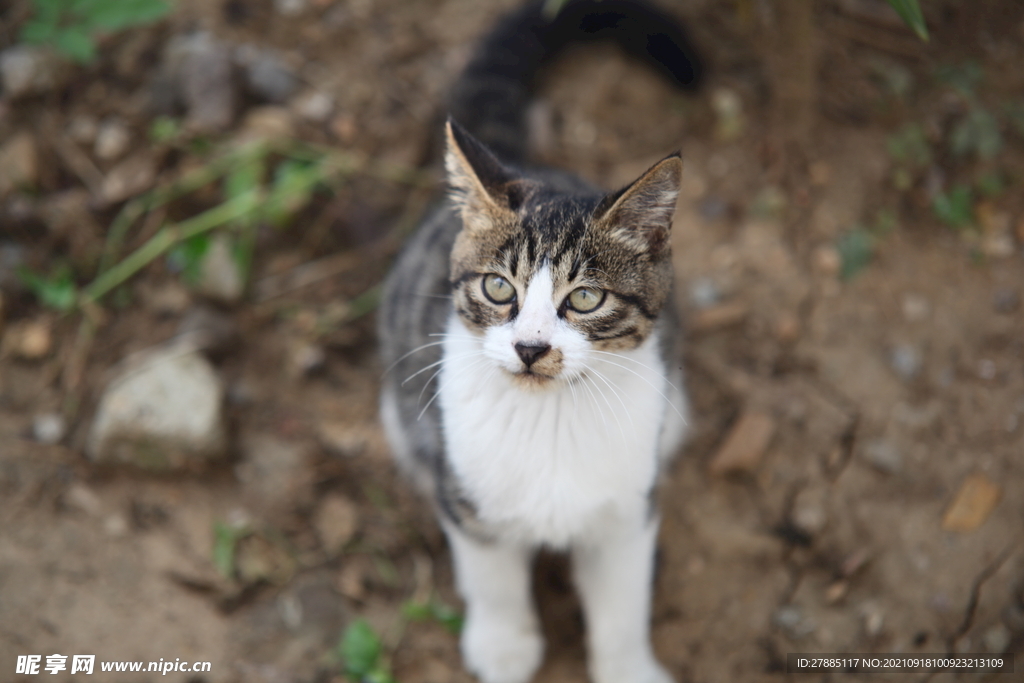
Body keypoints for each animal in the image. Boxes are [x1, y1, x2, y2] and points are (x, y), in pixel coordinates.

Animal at [380, 1, 700, 683]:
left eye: (585, 299)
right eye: (499, 287)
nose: (530, 347)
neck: (549, 417)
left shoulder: (628, 510)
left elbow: (622, 601)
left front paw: (627, 666)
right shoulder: (464, 492)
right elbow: (492, 576)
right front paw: (504, 645)